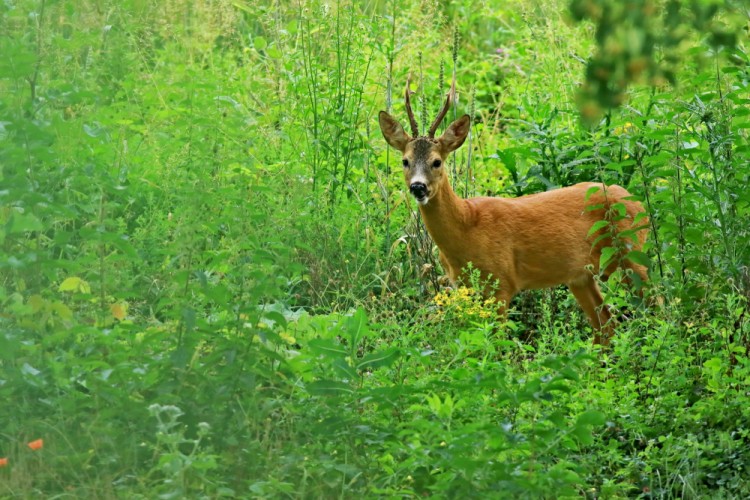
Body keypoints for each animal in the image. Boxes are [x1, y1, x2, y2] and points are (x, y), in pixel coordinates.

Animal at [378, 76, 648, 346]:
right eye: (405, 161)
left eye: (437, 161)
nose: (418, 187)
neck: (467, 225)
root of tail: (636, 202)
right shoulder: (464, 287)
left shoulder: (502, 282)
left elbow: (497, 346)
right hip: (581, 276)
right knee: (606, 325)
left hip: (631, 254)